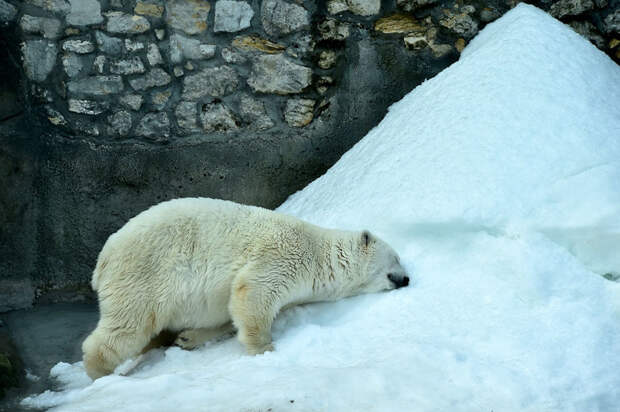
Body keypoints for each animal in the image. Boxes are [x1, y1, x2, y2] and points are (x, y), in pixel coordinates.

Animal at [83, 198, 412, 378]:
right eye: (396, 258)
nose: (407, 279)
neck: (320, 255)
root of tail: (103, 258)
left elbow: (229, 311)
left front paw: (190, 337)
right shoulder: (282, 255)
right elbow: (254, 292)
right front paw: (265, 349)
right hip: (143, 274)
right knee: (128, 324)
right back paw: (101, 372)